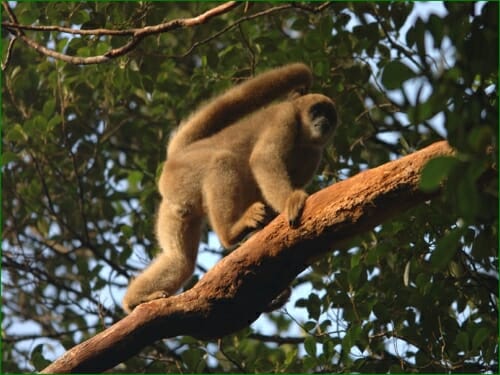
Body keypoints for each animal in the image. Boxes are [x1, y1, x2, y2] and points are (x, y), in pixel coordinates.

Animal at [123, 64, 338, 314]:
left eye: (329, 116)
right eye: (317, 111)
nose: (324, 121)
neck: (304, 137)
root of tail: (179, 154)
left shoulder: (315, 152)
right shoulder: (285, 118)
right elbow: (263, 160)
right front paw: (291, 201)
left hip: (175, 203)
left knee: (180, 261)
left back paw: (136, 300)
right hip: (182, 175)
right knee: (223, 161)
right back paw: (230, 232)